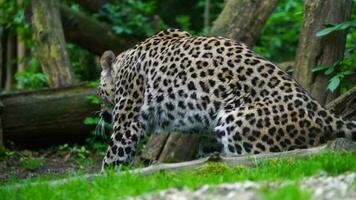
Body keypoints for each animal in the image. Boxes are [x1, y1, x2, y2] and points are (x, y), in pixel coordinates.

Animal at [96, 28, 356, 169]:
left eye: (99, 93)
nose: (102, 114)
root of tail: (323, 112)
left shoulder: (128, 119)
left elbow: (113, 155)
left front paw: (103, 180)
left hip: (234, 120)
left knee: (265, 158)